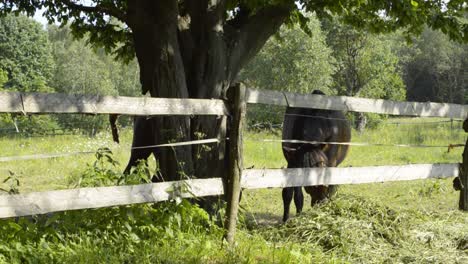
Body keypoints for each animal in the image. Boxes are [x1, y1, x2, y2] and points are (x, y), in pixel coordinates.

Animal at [280, 89, 350, 222]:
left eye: (323, 166)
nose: (319, 202)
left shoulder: (331, 162)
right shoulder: (293, 162)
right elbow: (292, 195)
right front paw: (288, 220)